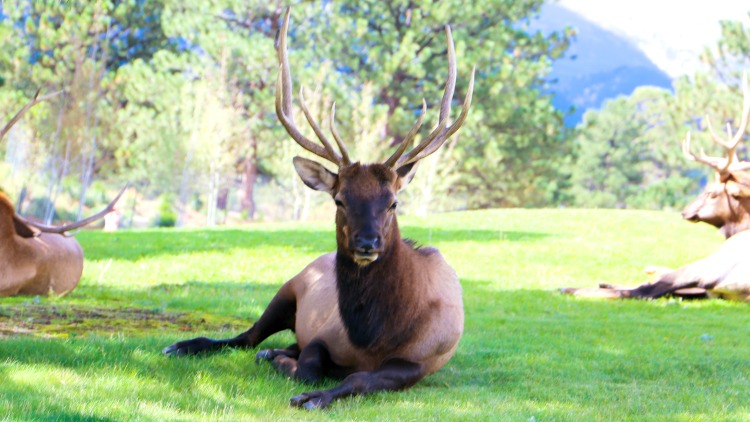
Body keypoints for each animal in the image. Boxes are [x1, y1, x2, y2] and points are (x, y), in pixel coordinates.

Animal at [163, 7, 474, 409]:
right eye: (340, 199)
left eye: (393, 202)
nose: (367, 244)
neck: (373, 337)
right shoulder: (322, 334)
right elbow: (309, 365)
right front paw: (287, 367)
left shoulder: (420, 362)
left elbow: (360, 378)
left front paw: (313, 395)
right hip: (287, 289)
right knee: (246, 336)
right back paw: (189, 346)